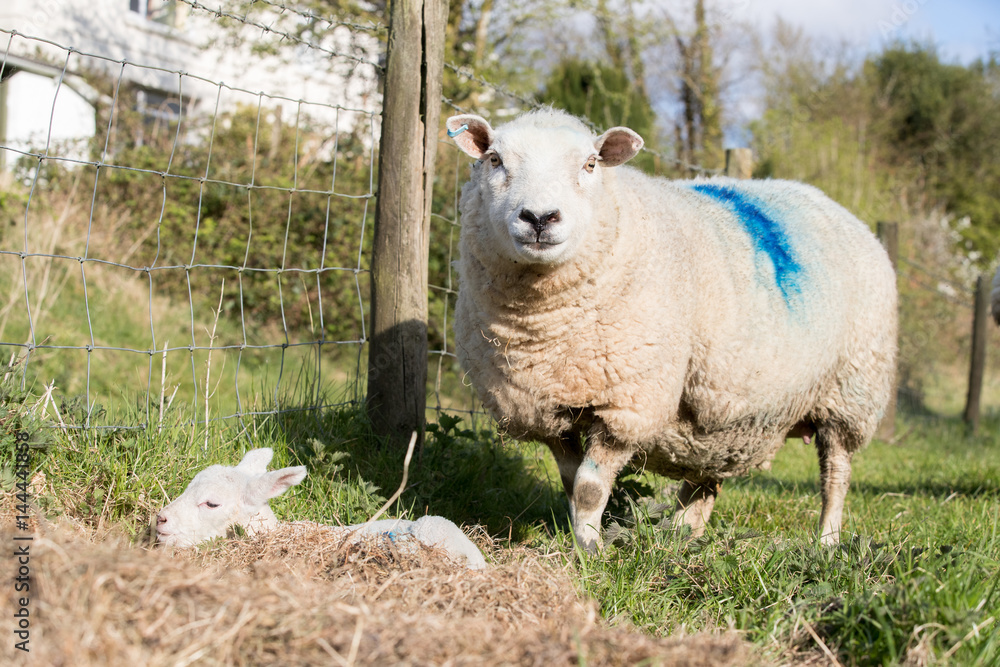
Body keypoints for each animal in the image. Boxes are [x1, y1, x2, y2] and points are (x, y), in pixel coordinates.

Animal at [445, 108, 897, 552]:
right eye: (494, 159)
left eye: (590, 164)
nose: (539, 217)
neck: (545, 332)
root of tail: (829, 202)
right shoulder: (545, 408)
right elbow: (572, 484)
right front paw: (580, 542)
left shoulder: (629, 402)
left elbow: (589, 488)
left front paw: (590, 552)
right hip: (722, 414)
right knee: (706, 479)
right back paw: (682, 538)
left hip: (851, 393)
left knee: (835, 475)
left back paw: (827, 541)